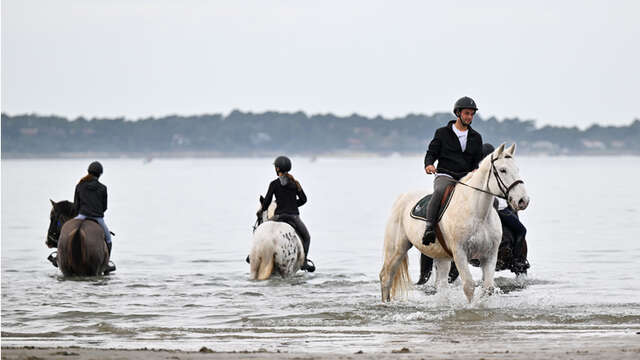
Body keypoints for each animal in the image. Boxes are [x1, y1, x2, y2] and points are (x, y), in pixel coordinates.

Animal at [380, 143, 528, 300]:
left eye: (517, 169)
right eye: (502, 170)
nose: (523, 200)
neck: (478, 214)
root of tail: (402, 197)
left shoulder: (489, 255)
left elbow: (488, 287)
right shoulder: (460, 254)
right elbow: (469, 286)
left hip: (441, 256)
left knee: (442, 285)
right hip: (397, 249)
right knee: (386, 277)